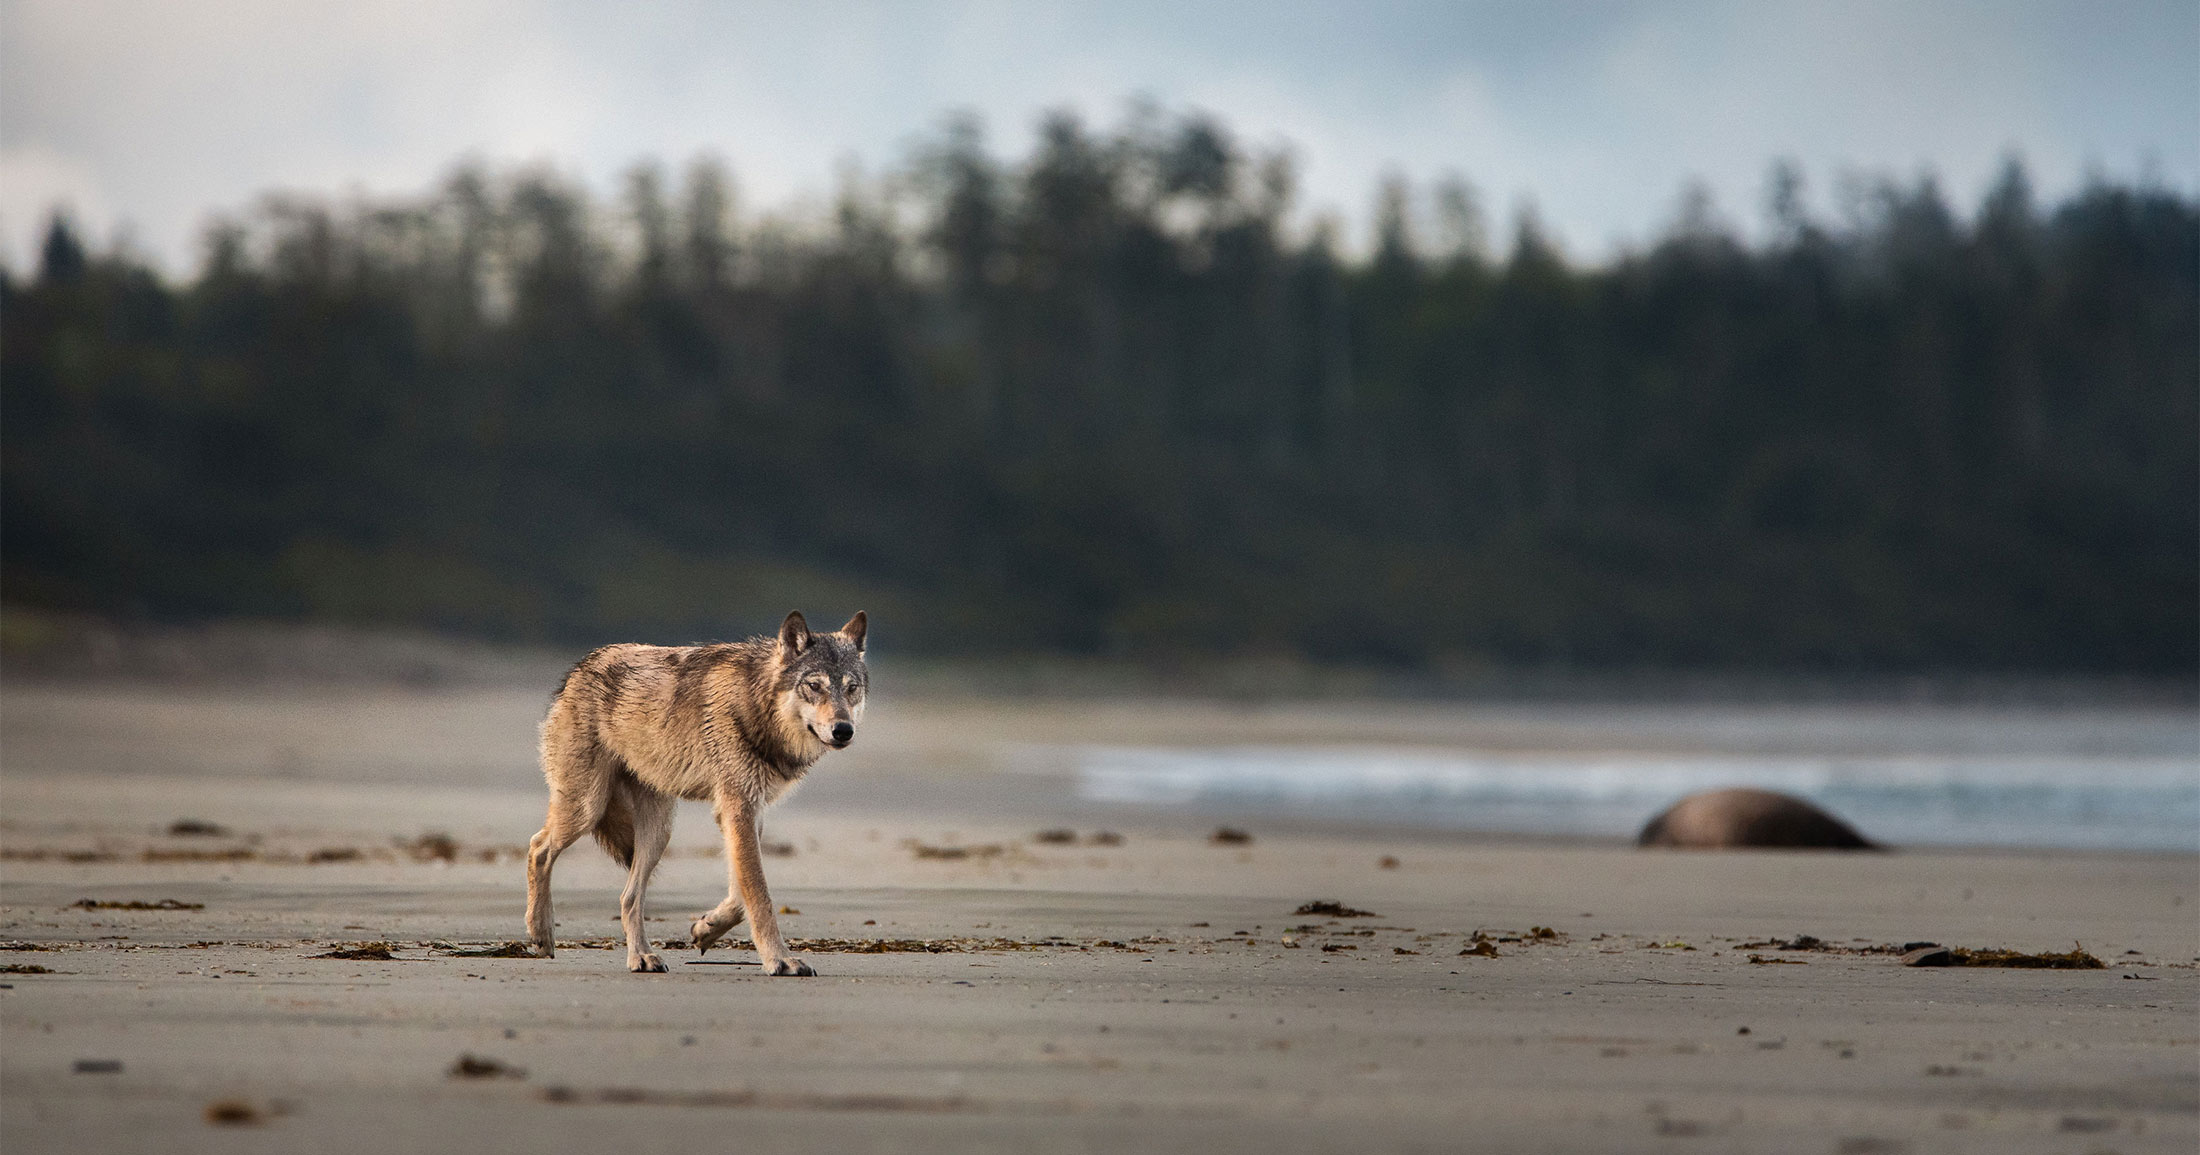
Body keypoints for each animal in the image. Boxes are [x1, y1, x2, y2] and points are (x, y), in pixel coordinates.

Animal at [524, 610, 867, 975]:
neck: (756, 706)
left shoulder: (745, 812)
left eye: (851, 689)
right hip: (586, 809)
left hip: (658, 833)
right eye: (815, 686)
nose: (843, 730)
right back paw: (541, 933)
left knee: (628, 897)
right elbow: (760, 896)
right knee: (538, 847)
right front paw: (780, 960)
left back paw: (641, 957)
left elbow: (740, 894)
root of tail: (580, 668)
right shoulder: (738, 809)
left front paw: (706, 928)